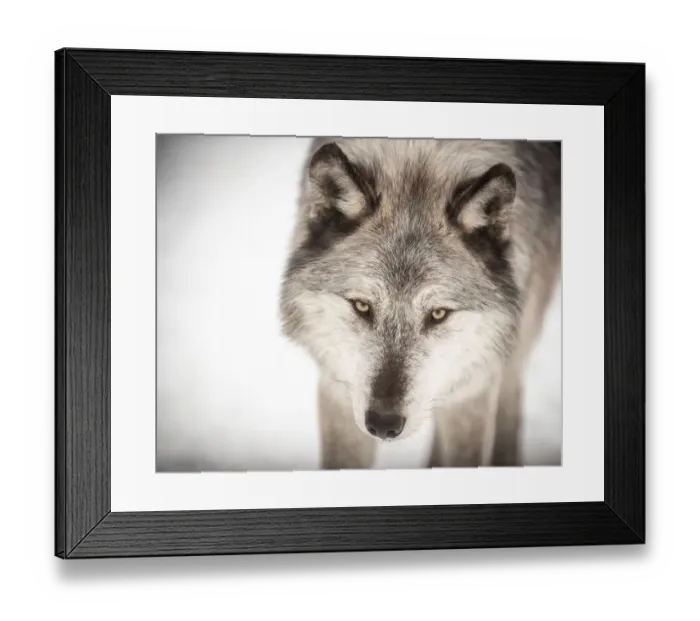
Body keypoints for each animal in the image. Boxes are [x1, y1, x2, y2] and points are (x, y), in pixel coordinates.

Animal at [279, 137, 561, 469]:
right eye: (362, 307)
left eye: (438, 314)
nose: (383, 423)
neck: (420, 157)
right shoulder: (338, 391)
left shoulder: (473, 391)